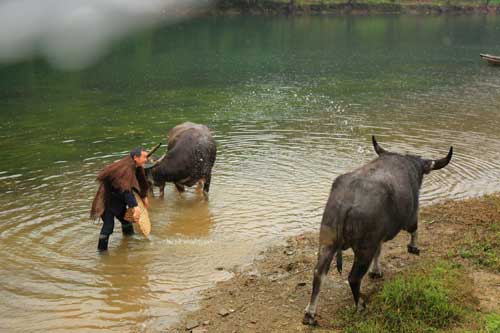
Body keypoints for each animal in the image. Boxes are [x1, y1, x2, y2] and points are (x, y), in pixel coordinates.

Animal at [300, 135, 454, 324]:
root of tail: (347, 201)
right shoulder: (410, 217)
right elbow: (414, 230)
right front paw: (414, 248)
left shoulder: (378, 237)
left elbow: (379, 251)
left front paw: (376, 271)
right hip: (364, 249)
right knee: (353, 278)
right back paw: (360, 305)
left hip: (327, 242)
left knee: (319, 274)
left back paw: (310, 313)